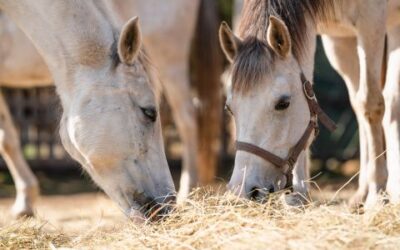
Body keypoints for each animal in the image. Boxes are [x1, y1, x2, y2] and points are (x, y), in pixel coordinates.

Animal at [220, 0, 400, 207]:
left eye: (283, 103)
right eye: (229, 109)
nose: (242, 189)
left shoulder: (371, 21)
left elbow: (371, 105)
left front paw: (377, 194)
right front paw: (297, 196)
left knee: (389, 102)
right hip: (342, 41)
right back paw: (362, 192)